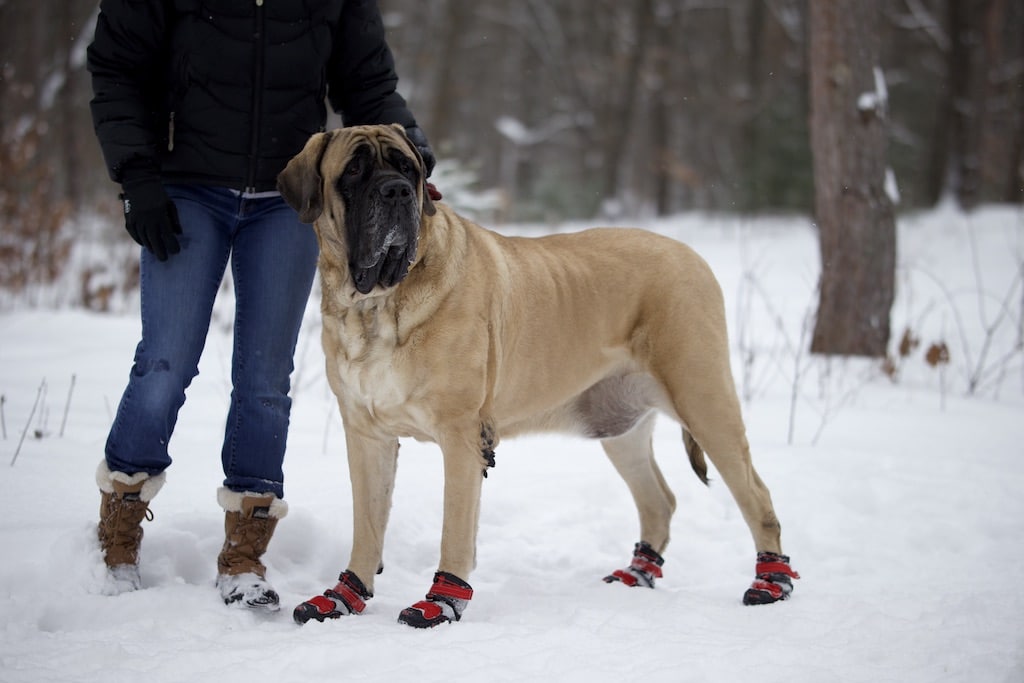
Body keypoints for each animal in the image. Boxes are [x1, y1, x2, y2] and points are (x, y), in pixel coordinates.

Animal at [280, 124, 798, 630]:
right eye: (354, 171)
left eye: (408, 169)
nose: (397, 191)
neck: (376, 303)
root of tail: (691, 254)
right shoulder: (367, 435)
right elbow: (367, 525)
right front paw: (346, 595)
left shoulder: (460, 436)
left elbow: (455, 528)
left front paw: (442, 603)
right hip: (622, 425)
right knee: (659, 500)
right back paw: (637, 574)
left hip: (703, 398)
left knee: (757, 495)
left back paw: (770, 584)